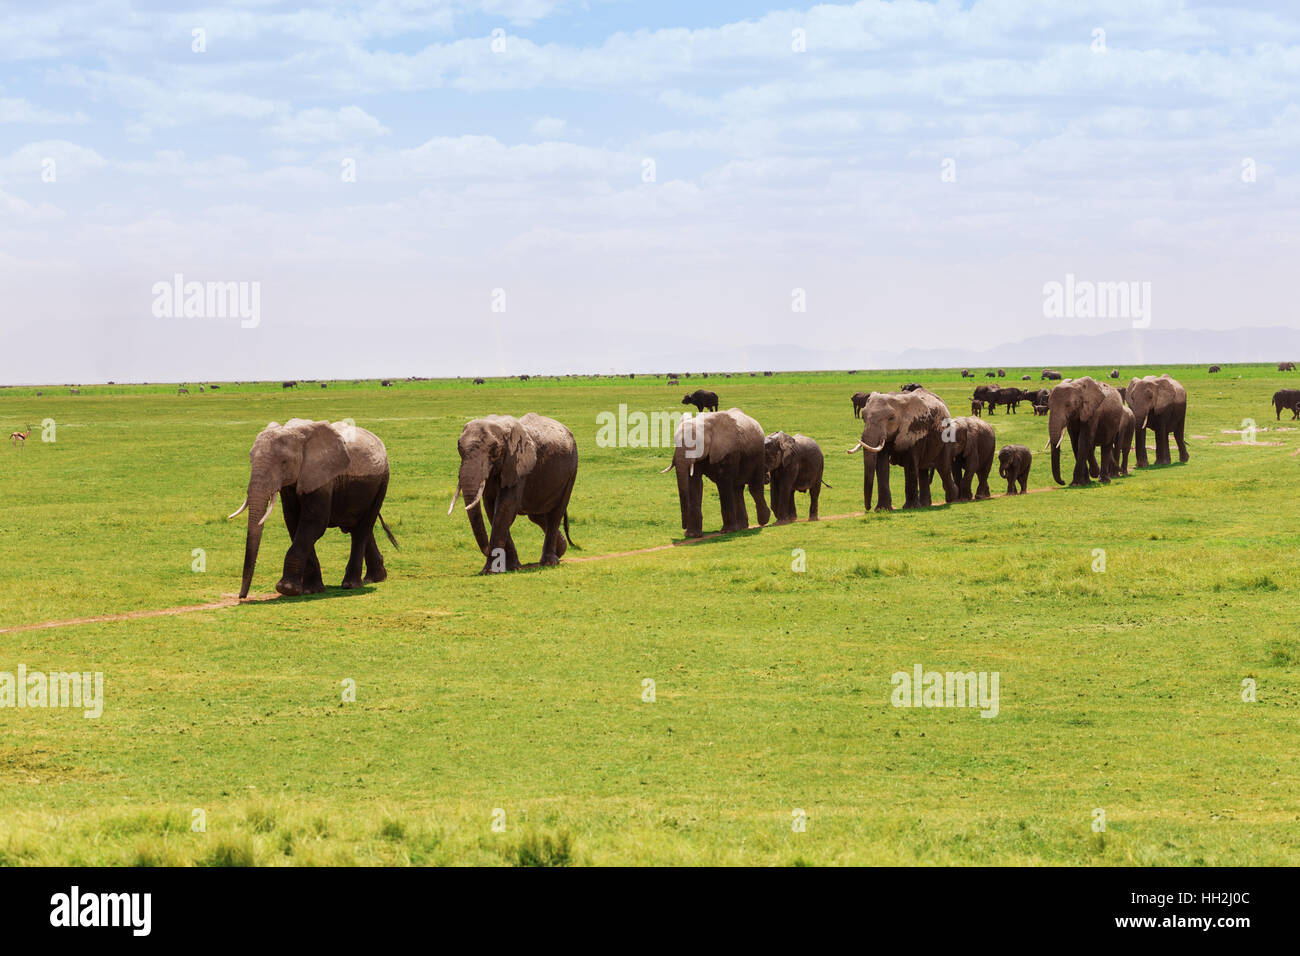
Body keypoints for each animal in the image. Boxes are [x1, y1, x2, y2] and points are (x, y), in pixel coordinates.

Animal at [230, 419, 398, 599]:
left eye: (284, 462)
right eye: (250, 460)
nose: (242, 596)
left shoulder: (321, 476)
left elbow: (313, 524)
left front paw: (286, 589)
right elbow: (293, 522)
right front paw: (311, 590)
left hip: (382, 481)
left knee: (362, 529)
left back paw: (351, 585)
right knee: (359, 528)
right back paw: (374, 579)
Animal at [450, 413, 578, 573]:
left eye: (495, 450)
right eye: (459, 448)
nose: (487, 549)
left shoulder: (518, 465)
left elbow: (505, 507)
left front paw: (489, 571)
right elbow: (491, 508)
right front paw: (511, 567)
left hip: (571, 470)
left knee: (555, 514)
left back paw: (549, 562)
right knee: (537, 516)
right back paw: (560, 550)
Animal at [662, 408, 770, 538]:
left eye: (695, 444)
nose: (684, 526)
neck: (705, 426)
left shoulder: (728, 452)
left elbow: (723, 484)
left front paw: (727, 531)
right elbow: (695, 484)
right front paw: (692, 535)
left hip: (759, 455)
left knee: (754, 488)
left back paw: (763, 520)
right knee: (737, 490)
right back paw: (742, 527)